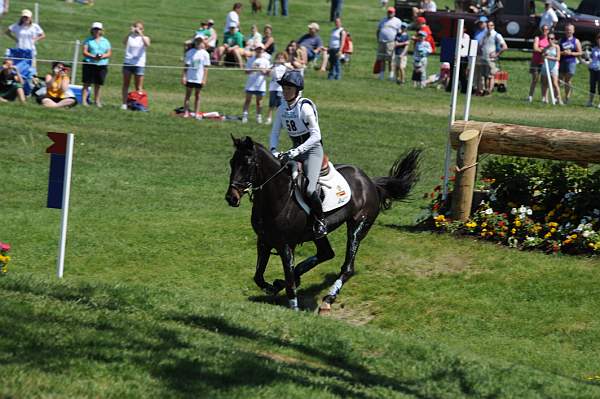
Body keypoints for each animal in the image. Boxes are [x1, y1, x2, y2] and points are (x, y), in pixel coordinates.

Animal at [226, 137, 422, 312]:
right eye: (231, 162)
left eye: (248, 163)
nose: (231, 198)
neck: (278, 196)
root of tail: (370, 182)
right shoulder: (264, 241)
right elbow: (258, 276)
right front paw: (274, 286)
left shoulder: (286, 245)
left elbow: (288, 281)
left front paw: (293, 308)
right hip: (318, 233)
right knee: (326, 253)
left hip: (358, 226)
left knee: (347, 267)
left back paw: (328, 299)